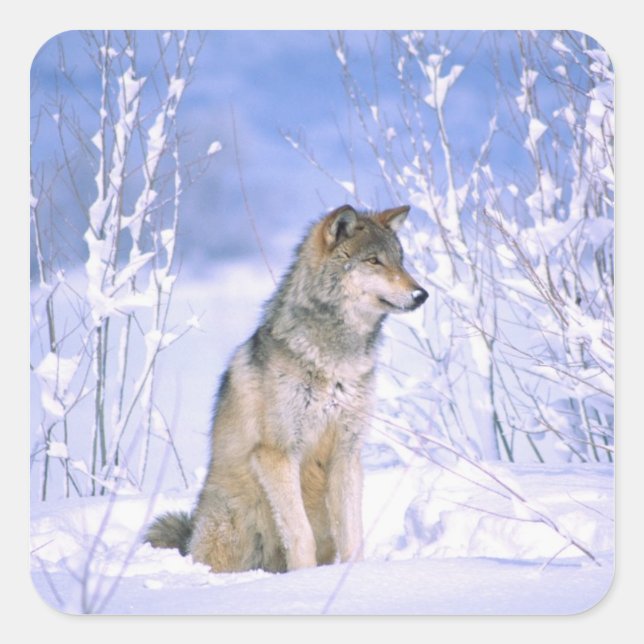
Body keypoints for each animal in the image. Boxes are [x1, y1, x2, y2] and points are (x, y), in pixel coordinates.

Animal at [145, 204, 428, 573]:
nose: (421, 294)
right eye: (374, 261)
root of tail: (189, 538)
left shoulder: (347, 454)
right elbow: (299, 534)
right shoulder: (277, 453)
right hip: (232, 523)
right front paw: (305, 579)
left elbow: (353, 536)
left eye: (400, 260)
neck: (335, 361)